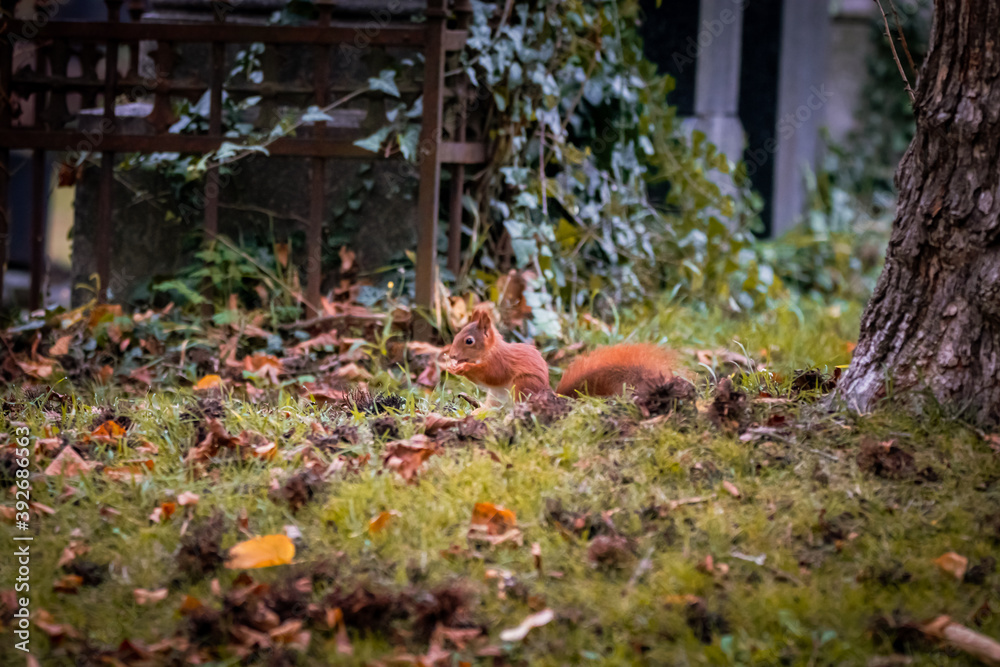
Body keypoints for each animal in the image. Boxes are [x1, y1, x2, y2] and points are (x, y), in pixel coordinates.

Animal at [445, 304, 676, 406]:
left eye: (469, 341)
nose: (452, 354)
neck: (489, 352)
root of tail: (549, 394)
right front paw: (452, 366)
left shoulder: (500, 363)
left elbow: (492, 375)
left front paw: (463, 368)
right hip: (495, 398)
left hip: (523, 386)